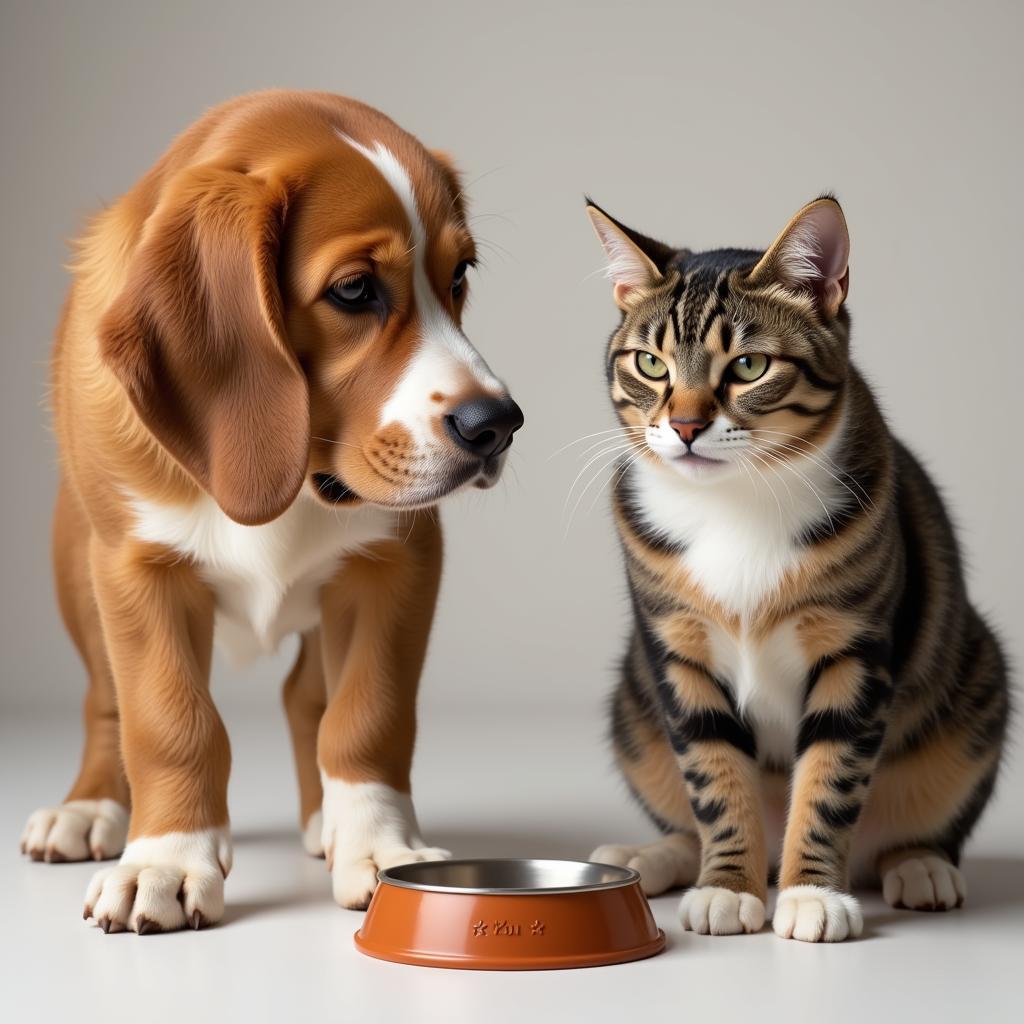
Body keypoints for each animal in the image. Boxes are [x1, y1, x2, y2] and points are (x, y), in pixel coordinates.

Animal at [20, 92, 524, 933]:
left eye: (459, 275)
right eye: (354, 291)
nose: (497, 425)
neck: (303, 481)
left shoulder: (398, 563)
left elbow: (366, 714)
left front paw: (380, 847)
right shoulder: (136, 570)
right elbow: (169, 722)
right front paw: (165, 860)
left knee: (306, 698)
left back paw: (330, 823)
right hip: (75, 567)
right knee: (103, 702)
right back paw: (90, 809)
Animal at [585, 195, 1007, 937]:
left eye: (750, 366)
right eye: (651, 364)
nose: (685, 426)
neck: (735, 504)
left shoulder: (853, 650)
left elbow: (830, 776)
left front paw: (812, 893)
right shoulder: (678, 654)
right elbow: (714, 773)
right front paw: (727, 885)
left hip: (977, 685)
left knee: (917, 825)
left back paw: (920, 866)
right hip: (633, 710)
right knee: (680, 816)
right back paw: (649, 857)